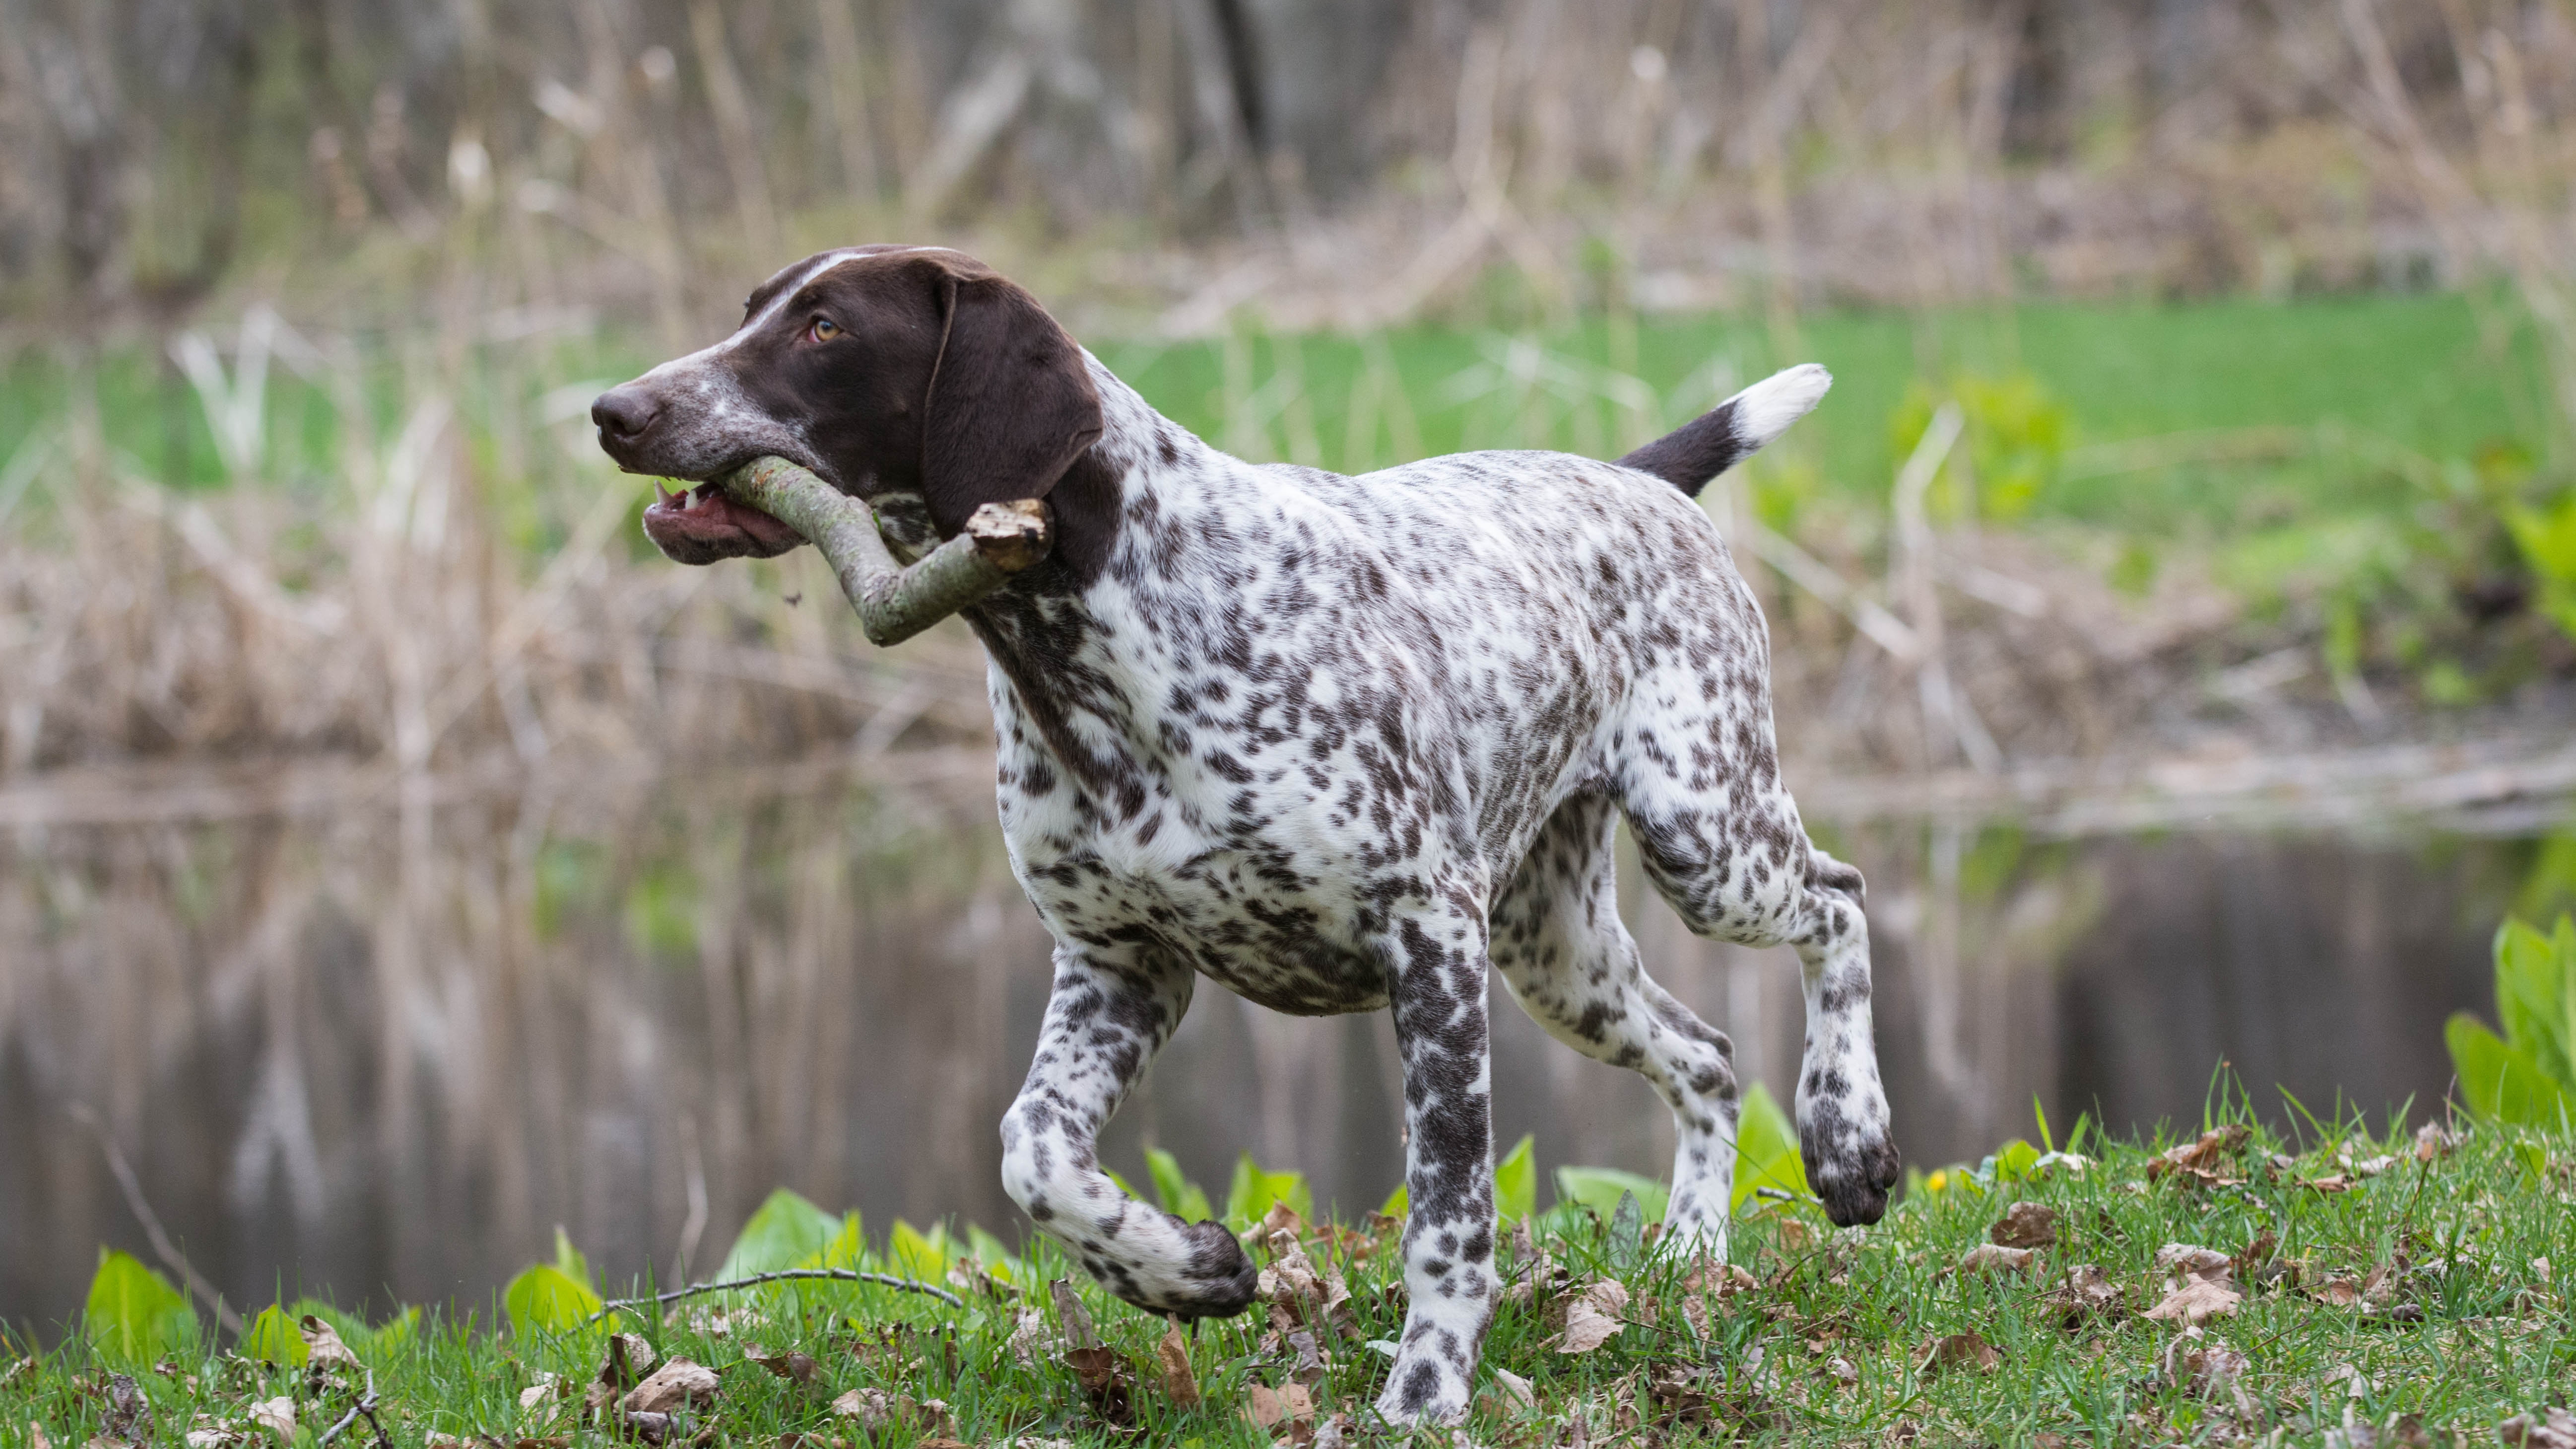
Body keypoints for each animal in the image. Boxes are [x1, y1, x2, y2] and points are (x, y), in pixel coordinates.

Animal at [592, 247, 1906, 1423]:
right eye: (753, 310)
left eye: (827, 329)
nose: (616, 411)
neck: (1100, 630)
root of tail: (1637, 479)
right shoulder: (1121, 965)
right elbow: (1034, 1152)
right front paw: (1182, 1269)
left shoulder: (1428, 940)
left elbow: (1448, 1208)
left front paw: (1427, 1388)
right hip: (1557, 950)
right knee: (1708, 1055)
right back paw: (1690, 1252)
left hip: (1702, 839)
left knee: (1840, 901)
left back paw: (1848, 1137)